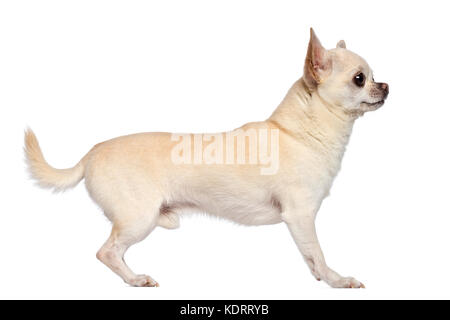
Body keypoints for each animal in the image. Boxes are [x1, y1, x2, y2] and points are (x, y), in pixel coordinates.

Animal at [24, 30, 388, 288]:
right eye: (359, 79)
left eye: (373, 76)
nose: (385, 85)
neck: (296, 132)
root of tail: (91, 153)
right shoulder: (300, 216)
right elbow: (318, 251)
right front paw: (336, 280)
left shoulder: (300, 221)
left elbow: (310, 257)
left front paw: (320, 276)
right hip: (139, 218)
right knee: (107, 252)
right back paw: (135, 279)